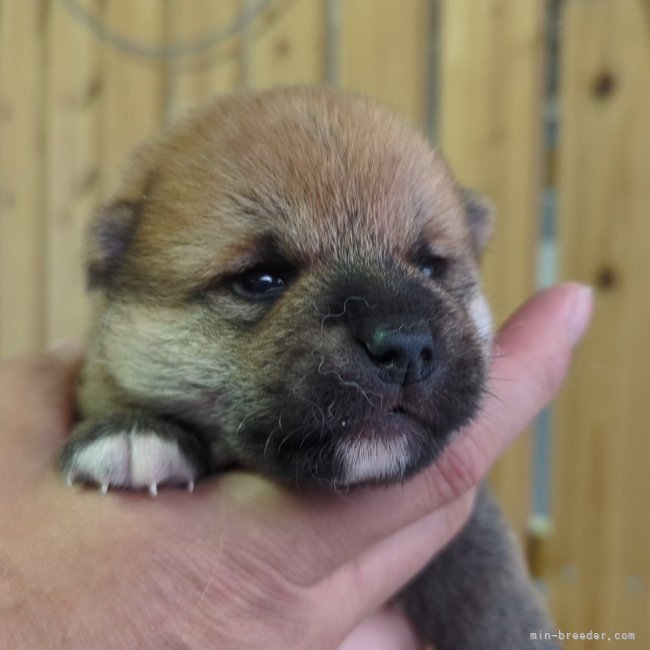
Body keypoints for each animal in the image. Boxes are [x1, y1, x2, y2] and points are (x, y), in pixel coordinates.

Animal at [58, 87, 556, 648]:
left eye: (431, 267)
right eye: (261, 279)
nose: (404, 347)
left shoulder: (470, 527)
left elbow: (487, 582)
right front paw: (132, 432)